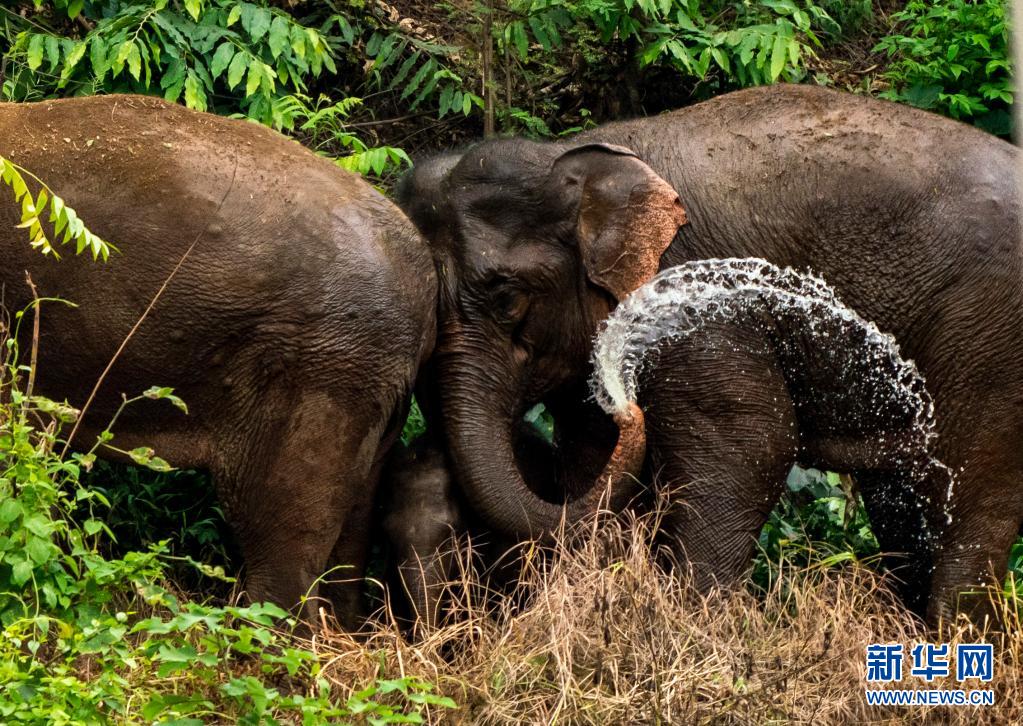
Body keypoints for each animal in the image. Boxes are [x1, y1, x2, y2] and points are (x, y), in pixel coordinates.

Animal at [396, 83, 1023, 624]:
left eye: (506, 298)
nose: (628, 405)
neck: (578, 157)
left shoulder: (692, 304)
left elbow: (751, 442)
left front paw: (697, 628)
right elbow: (592, 455)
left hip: (991, 340)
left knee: (969, 498)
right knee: (903, 498)